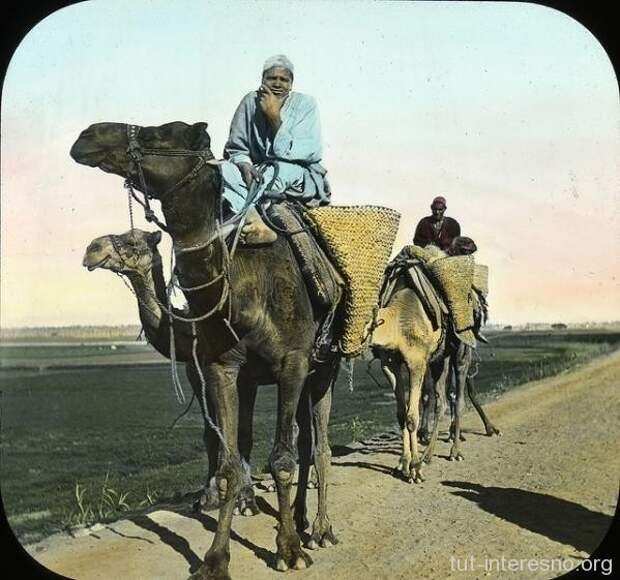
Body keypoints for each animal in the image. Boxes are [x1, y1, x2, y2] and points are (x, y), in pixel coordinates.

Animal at [74, 120, 344, 576]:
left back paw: (321, 530)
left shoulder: (291, 363)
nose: (89, 135)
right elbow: (229, 458)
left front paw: (288, 549)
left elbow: (282, 459)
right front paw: (216, 556)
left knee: (318, 444)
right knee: (300, 440)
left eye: (163, 133)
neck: (240, 295)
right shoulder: (220, 370)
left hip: (324, 367)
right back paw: (300, 516)